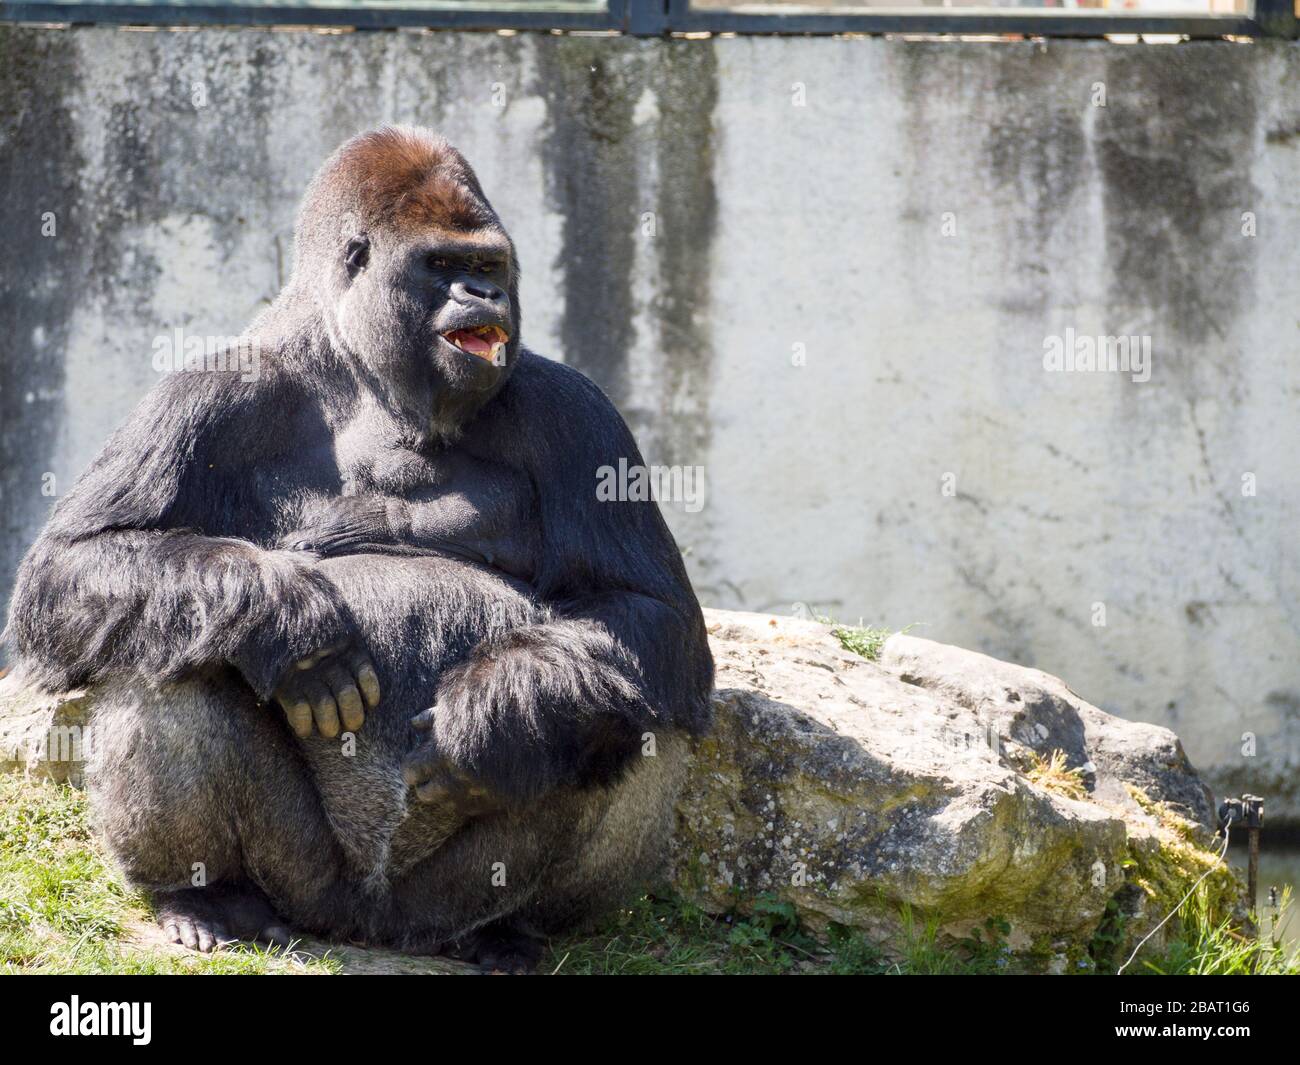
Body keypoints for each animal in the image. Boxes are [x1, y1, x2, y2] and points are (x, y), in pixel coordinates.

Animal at [5, 126, 714, 972]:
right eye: (442, 265)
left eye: (489, 266)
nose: (486, 298)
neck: (364, 370)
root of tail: (370, 923)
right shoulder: (210, 387)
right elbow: (76, 560)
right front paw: (290, 618)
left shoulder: (576, 411)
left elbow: (650, 611)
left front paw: (501, 705)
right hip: (302, 876)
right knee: (170, 648)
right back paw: (203, 892)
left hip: (439, 898)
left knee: (632, 708)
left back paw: (508, 924)